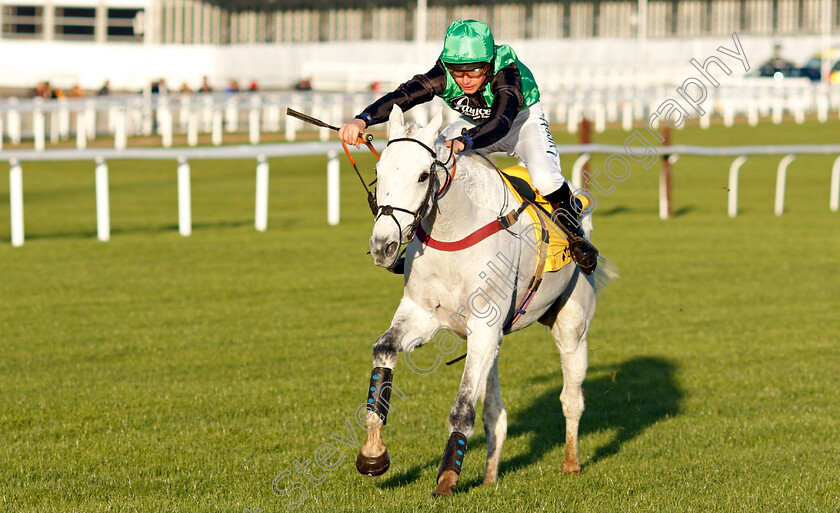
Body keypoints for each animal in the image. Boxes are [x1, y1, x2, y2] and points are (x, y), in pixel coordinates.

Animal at [358, 107, 612, 496]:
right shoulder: (423, 315)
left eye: (422, 175)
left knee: (571, 398)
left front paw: (446, 479)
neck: (452, 234)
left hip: (571, 326)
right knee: (496, 412)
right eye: (379, 170)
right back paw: (490, 476)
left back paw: (571, 463)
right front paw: (373, 452)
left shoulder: (484, 325)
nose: (382, 246)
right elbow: (384, 350)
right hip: (494, 343)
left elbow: (463, 407)